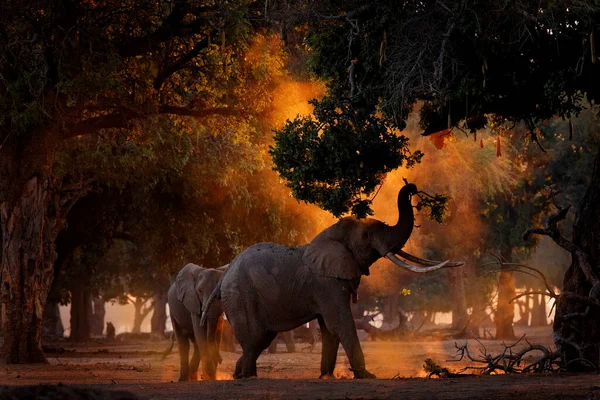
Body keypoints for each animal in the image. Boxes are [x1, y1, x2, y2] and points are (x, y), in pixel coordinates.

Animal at [202, 183, 464, 380]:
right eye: (367, 235)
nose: (412, 187)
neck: (333, 234)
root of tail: (224, 275)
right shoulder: (326, 283)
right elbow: (340, 322)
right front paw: (366, 376)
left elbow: (328, 328)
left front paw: (326, 376)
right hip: (241, 295)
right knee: (256, 337)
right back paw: (246, 376)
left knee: (260, 339)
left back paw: (239, 374)